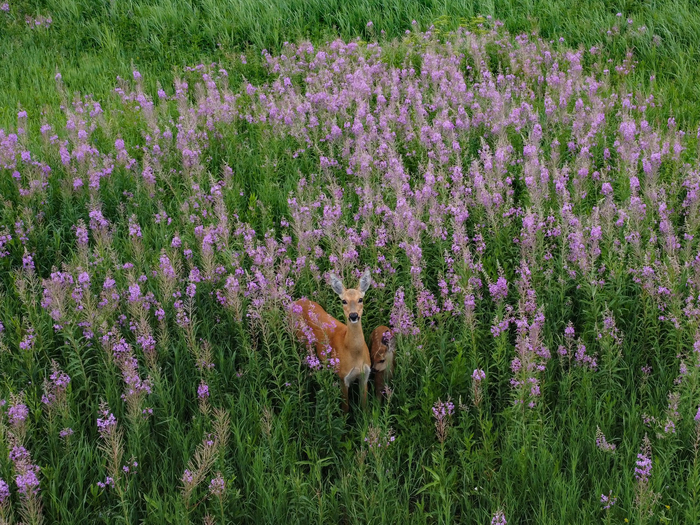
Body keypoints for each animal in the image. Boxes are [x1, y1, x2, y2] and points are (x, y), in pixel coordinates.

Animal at [292, 268, 374, 412]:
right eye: (343, 301)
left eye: (360, 299)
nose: (353, 315)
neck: (354, 353)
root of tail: (296, 302)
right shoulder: (342, 377)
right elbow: (345, 409)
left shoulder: (365, 375)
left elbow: (364, 407)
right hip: (302, 338)